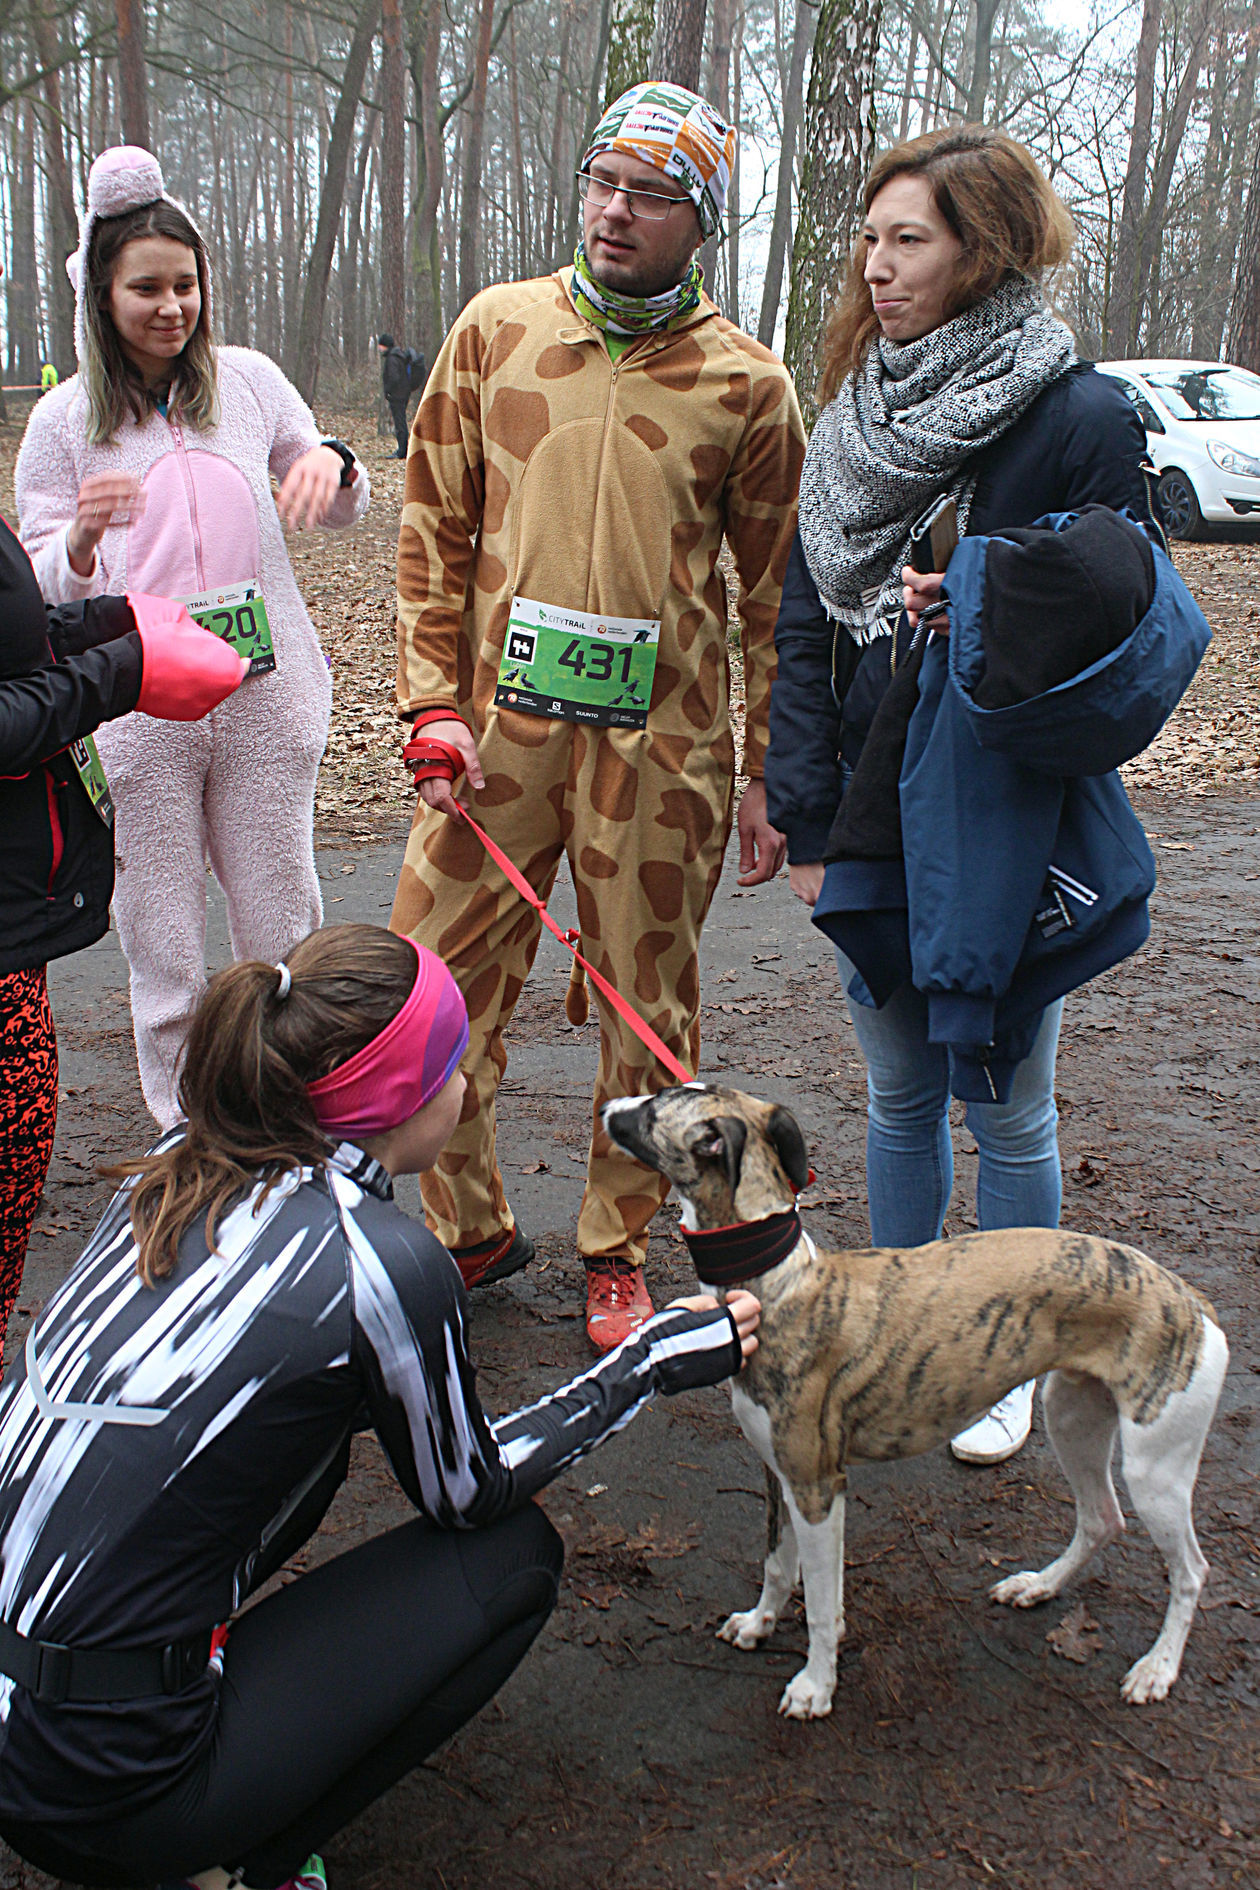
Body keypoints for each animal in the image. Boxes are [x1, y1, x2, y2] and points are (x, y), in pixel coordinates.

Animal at [604, 1088, 1231, 1723]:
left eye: (653, 1108)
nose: (608, 1108)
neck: (781, 1284)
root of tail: (1193, 1303)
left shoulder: (818, 1489)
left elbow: (823, 1606)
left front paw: (816, 1685)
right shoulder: (779, 1475)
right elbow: (778, 1565)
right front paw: (759, 1624)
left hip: (1155, 1473)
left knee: (1191, 1571)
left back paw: (1157, 1667)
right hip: (1074, 1419)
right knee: (1102, 1519)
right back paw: (1038, 1586)